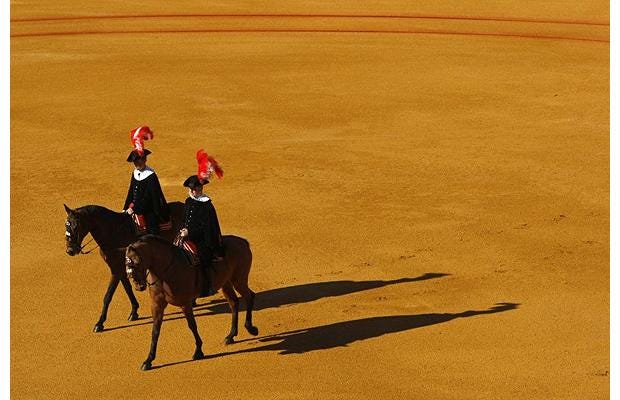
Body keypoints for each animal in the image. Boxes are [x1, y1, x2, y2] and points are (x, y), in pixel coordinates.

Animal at [63, 203, 184, 332]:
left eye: (76, 226)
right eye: (66, 225)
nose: (70, 250)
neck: (113, 232)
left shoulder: (116, 270)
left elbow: (108, 295)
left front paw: (99, 323)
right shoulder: (119, 268)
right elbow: (128, 289)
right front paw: (134, 312)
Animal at [124, 233, 258, 370]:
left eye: (137, 261)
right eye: (126, 263)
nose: (138, 286)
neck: (165, 271)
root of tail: (242, 241)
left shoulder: (185, 303)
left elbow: (192, 325)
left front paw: (198, 351)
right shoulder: (157, 305)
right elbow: (155, 330)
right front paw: (148, 360)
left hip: (239, 280)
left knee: (249, 296)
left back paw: (251, 328)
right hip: (226, 283)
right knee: (234, 303)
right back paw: (231, 336)